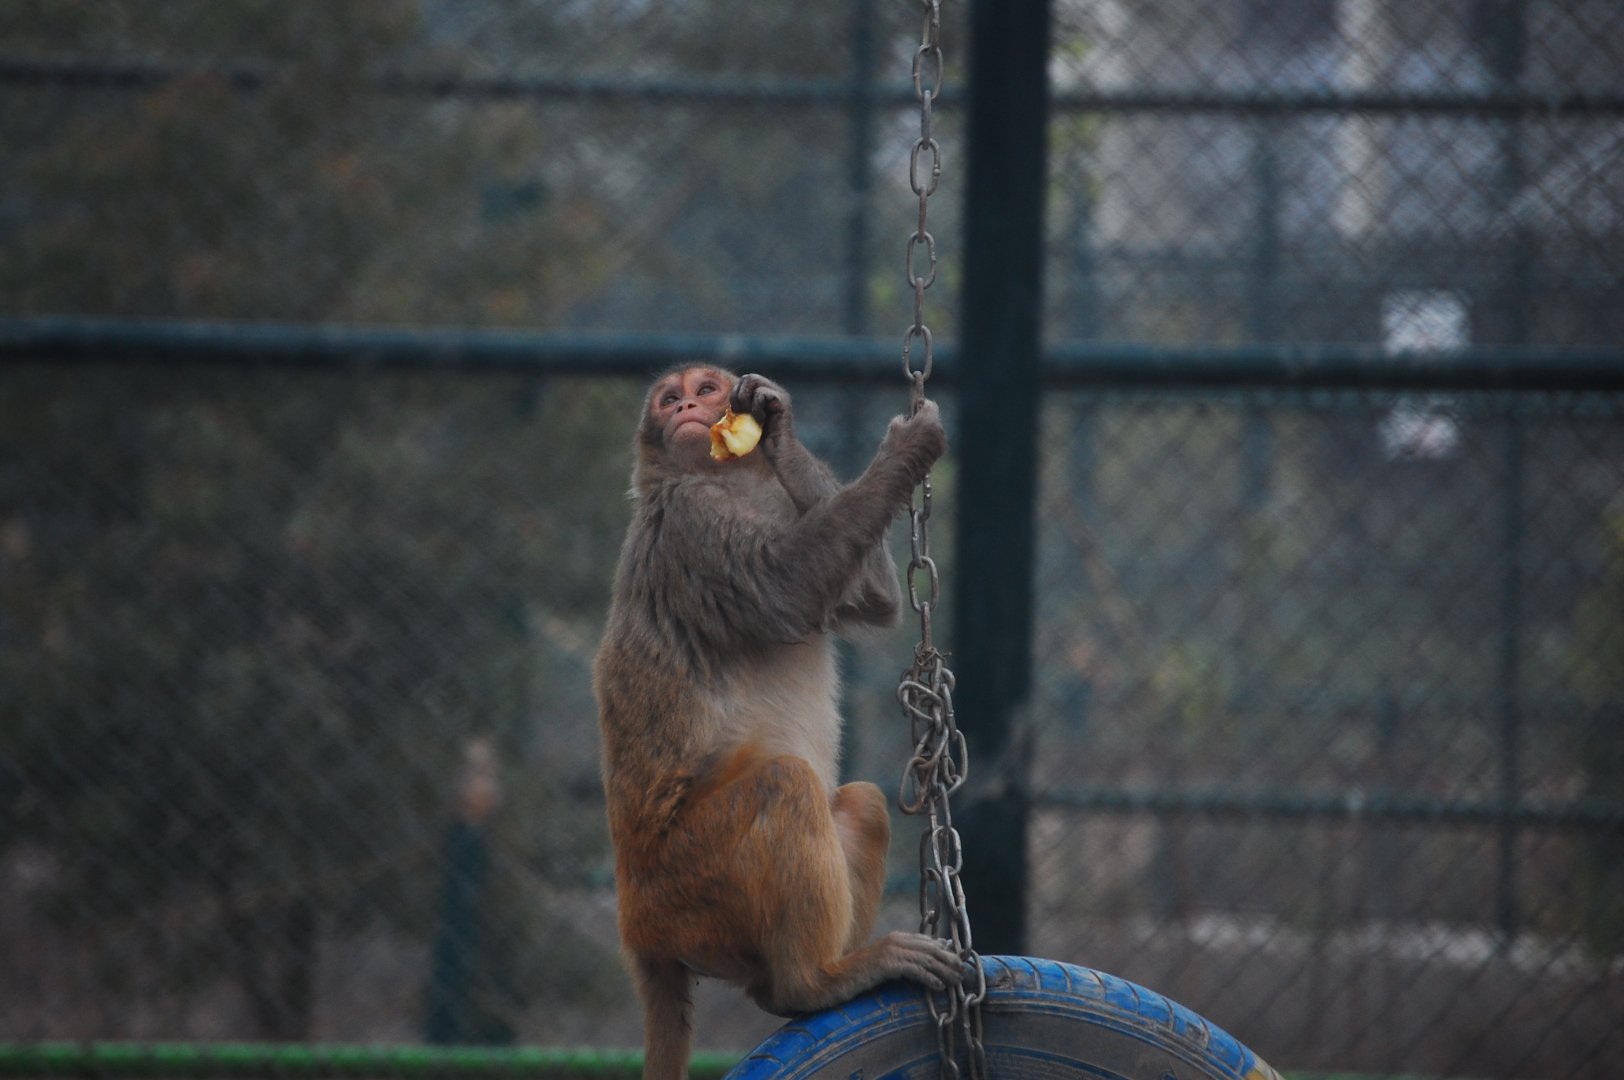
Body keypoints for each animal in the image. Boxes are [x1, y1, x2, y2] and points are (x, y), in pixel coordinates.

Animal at [593, 366, 961, 1080]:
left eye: (706, 389)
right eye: (669, 399)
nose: (688, 404)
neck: (729, 483)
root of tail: (639, 927)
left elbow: (871, 597)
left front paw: (779, 427)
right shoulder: (691, 523)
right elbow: (787, 587)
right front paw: (908, 448)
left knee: (861, 804)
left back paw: (793, 986)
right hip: (690, 884)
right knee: (784, 785)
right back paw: (812, 983)